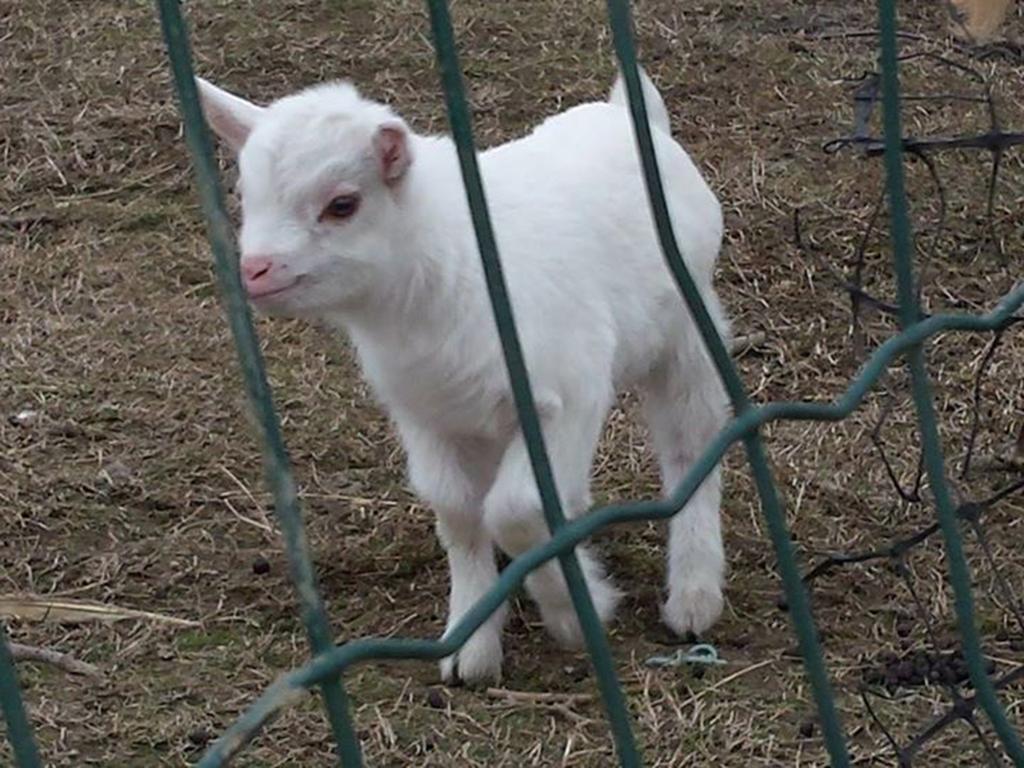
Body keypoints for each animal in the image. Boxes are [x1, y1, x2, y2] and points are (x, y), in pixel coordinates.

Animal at [197, 69, 729, 684]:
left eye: (342, 205)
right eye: (245, 196)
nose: (256, 271)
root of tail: (628, 115)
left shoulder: (569, 393)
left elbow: (516, 510)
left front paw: (577, 612)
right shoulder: (426, 416)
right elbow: (457, 510)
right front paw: (469, 645)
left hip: (687, 329)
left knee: (691, 445)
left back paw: (693, 597)